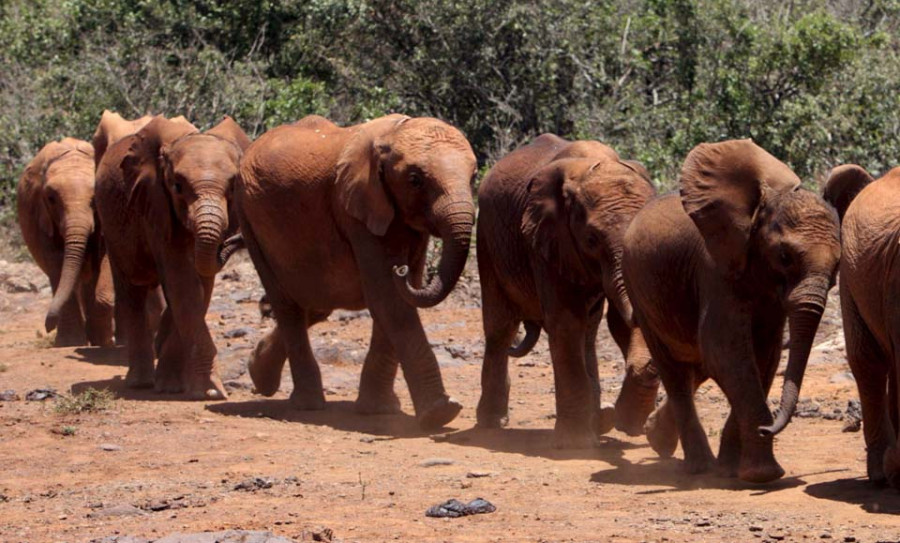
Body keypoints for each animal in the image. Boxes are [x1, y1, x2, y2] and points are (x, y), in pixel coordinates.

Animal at [16, 138, 114, 346]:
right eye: (51, 198)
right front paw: (70, 343)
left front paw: (103, 342)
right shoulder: (40, 215)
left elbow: (105, 257)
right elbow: (56, 262)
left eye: (95, 198)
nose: (47, 326)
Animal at [237, 113, 478, 430]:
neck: (392, 134)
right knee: (287, 305)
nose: (399, 268)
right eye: (415, 180)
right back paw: (305, 404)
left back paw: (258, 373)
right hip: (249, 220)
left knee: (315, 305)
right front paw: (441, 413)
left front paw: (379, 410)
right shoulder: (355, 210)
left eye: (474, 176)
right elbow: (387, 299)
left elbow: (393, 300)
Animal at [478, 136, 660, 450]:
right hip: (487, 239)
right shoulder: (546, 240)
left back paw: (601, 423)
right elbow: (565, 321)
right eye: (591, 239)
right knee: (500, 328)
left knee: (589, 331)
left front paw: (623, 424)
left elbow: (617, 322)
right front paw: (575, 443)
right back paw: (491, 423)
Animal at [624, 140, 840, 484]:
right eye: (784, 257)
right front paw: (762, 475)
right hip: (638, 288)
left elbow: (763, 357)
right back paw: (697, 467)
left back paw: (657, 439)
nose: (768, 427)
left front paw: (734, 469)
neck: (758, 210)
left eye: (838, 268)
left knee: (694, 367)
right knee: (674, 369)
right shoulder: (714, 270)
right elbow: (727, 353)